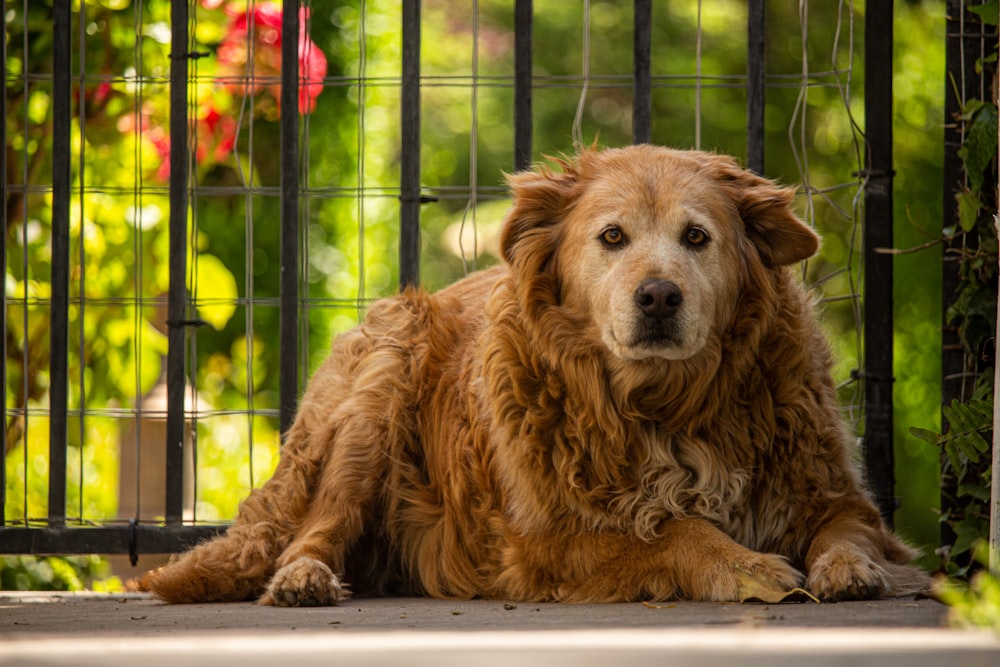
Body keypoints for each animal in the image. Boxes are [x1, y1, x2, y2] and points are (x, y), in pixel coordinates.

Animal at [135, 145, 928, 604]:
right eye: (613, 237)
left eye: (697, 237)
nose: (658, 296)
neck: (665, 406)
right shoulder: (547, 538)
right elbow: (673, 532)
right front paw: (746, 565)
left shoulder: (830, 492)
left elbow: (848, 532)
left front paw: (848, 569)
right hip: (383, 379)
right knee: (315, 527)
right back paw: (303, 578)